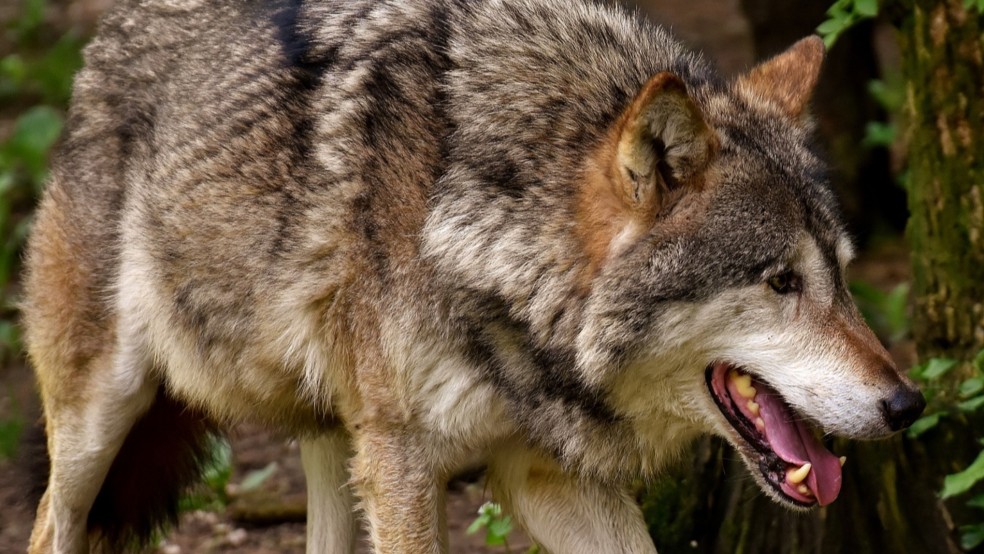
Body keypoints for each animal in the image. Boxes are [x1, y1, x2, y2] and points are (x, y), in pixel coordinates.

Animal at [22, 0, 925, 552]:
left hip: (335, 439)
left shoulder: (544, 474)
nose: (907, 405)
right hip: (100, 420)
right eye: (780, 281)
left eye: (843, 277)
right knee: (45, 525)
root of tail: (104, 38)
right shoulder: (405, 466)